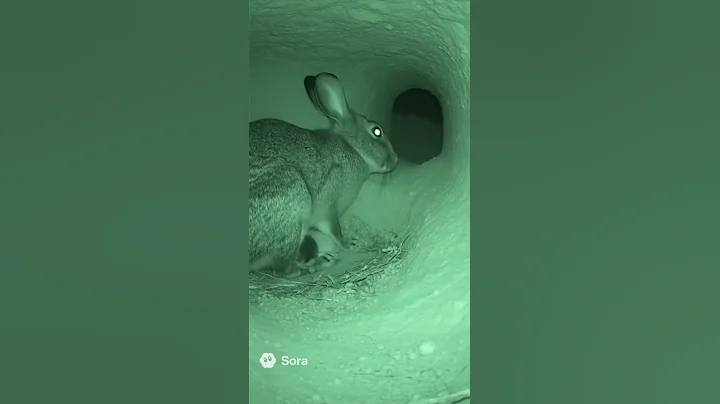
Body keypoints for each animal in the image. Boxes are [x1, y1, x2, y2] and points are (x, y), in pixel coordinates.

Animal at [249, 72, 398, 276]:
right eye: (377, 131)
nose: (395, 159)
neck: (354, 149)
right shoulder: (328, 206)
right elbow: (334, 229)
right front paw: (348, 242)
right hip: (294, 202)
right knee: (286, 269)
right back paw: (321, 262)